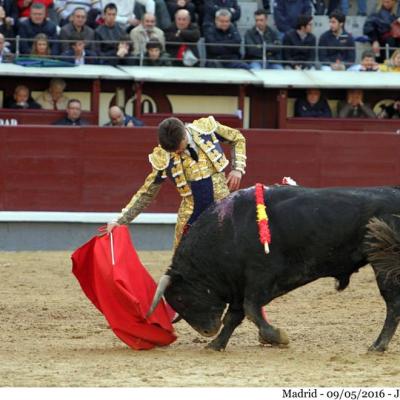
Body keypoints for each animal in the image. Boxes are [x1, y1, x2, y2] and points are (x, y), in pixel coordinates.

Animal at [148, 186, 400, 352]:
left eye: (181, 298)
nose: (207, 331)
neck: (228, 231)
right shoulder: (240, 284)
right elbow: (234, 316)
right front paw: (215, 344)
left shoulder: (260, 276)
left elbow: (250, 310)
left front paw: (278, 337)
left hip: (384, 264)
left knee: (393, 304)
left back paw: (378, 345)